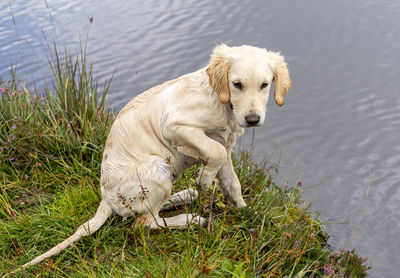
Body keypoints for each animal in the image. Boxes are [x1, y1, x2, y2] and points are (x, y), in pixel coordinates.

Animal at [20, 44, 292, 270]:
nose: (253, 119)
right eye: (237, 84)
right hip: (158, 168)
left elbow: (232, 183)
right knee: (145, 222)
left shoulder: (225, 144)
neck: (220, 100)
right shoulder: (175, 126)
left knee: (152, 211)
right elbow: (211, 154)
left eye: (265, 85)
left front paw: (246, 214)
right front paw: (203, 180)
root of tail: (106, 199)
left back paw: (185, 195)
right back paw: (189, 218)